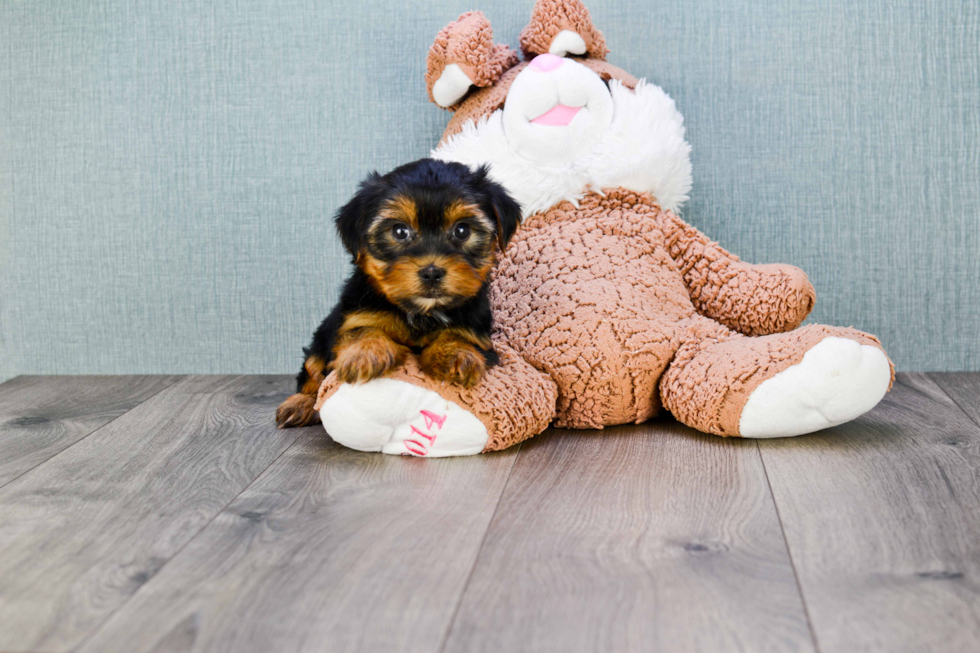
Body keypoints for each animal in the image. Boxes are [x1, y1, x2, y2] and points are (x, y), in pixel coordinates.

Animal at [276, 155, 520, 426]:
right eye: (400, 231)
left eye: (462, 230)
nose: (432, 272)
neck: (421, 312)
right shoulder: (354, 317)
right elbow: (361, 330)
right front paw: (364, 353)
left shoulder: (478, 333)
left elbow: (459, 336)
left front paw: (456, 355)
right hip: (320, 338)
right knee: (312, 370)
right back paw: (300, 404)